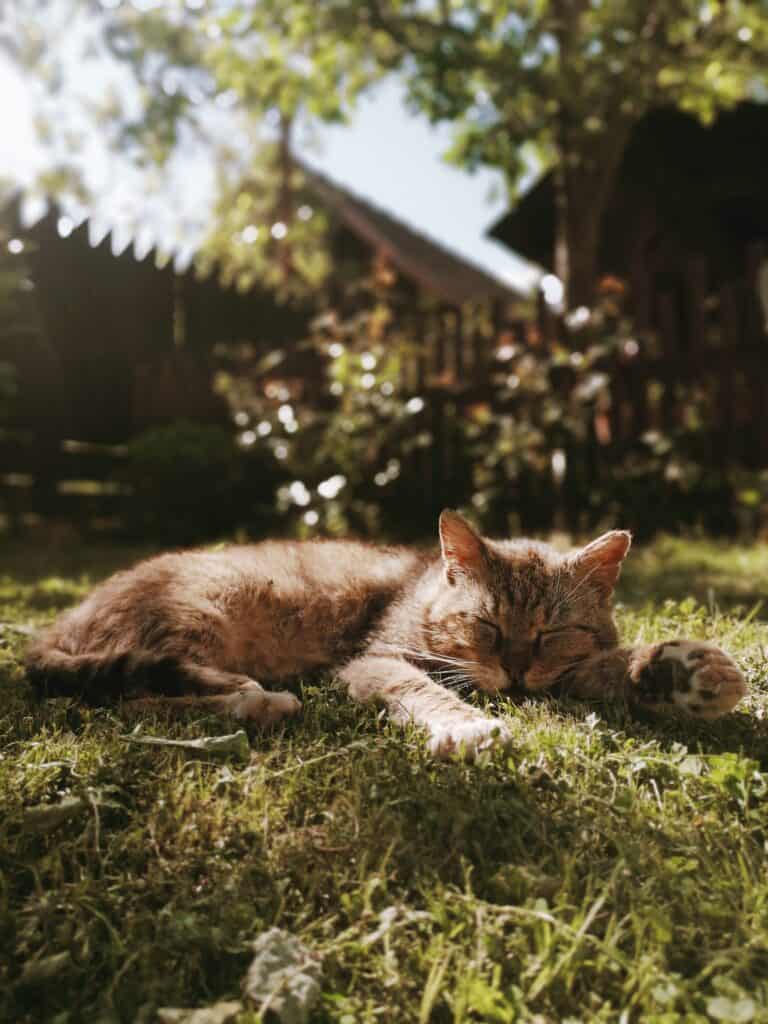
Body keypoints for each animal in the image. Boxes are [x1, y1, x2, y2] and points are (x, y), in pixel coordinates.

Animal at [27, 512, 749, 761]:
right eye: (487, 624)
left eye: (552, 632)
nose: (516, 674)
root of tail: (58, 624)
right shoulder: (373, 660)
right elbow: (421, 688)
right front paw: (466, 726)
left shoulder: (570, 669)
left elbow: (616, 664)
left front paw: (688, 672)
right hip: (197, 613)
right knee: (133, 696)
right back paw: (254, 701)